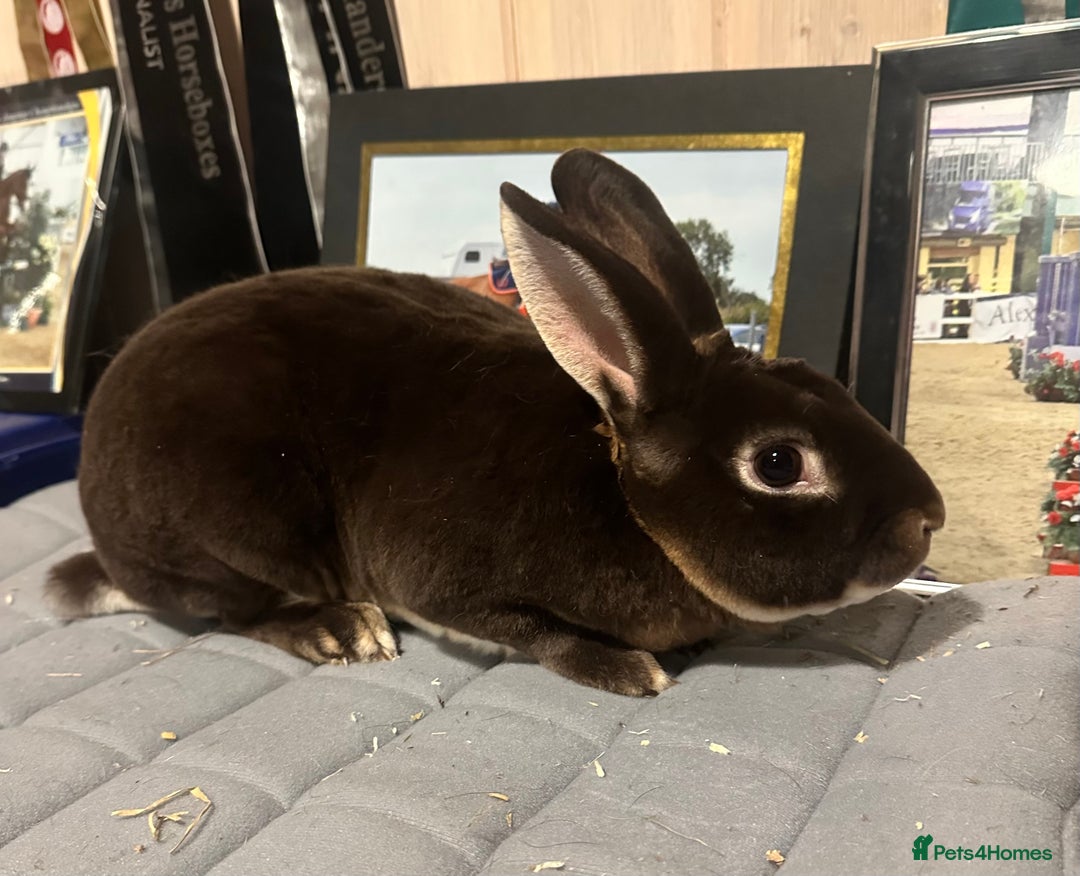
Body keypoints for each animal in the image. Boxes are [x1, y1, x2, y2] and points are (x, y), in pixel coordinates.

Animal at [46, 148, 945, 696]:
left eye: (826, 383)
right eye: (780, 464)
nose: (927, 520)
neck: (622, 494)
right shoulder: (446, 582)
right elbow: (534, 635)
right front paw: (628, 669)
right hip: (235, 531)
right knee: (239, 610)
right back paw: (343, 632)